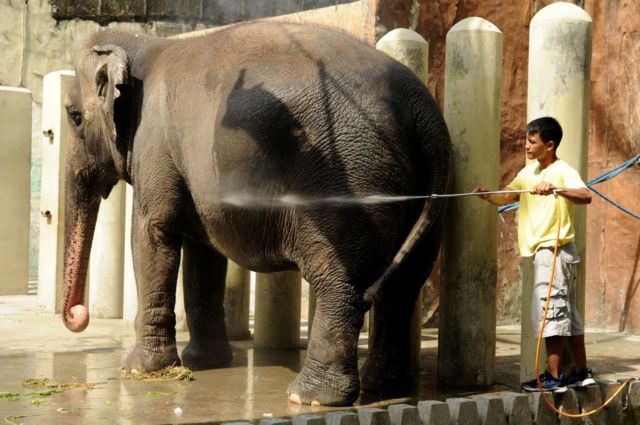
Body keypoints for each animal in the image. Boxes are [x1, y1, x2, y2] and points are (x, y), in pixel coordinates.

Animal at [60, 21, 450, 406]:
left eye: (74, 117)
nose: (79, 315)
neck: (144, 44)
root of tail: (422, 109)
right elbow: (203, 252)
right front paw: (203, 362)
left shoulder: (154, 146)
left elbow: (152, 235)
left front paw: (139, 370)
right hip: (427, 186)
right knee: (405, 284)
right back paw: (382, 387)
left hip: (350, 185)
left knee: (339, 280)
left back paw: (309, 398)